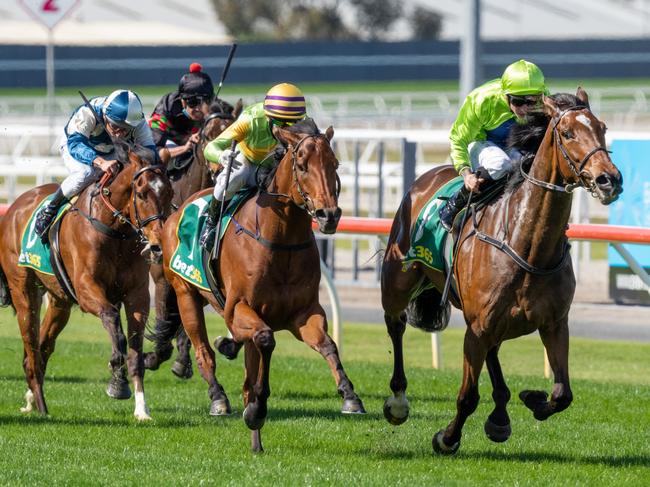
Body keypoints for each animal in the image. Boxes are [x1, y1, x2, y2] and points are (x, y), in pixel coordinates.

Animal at [0, 141, 172, 420]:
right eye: (142, 192)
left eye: (168, 192)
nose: (158, 246)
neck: (114, 231)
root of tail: (15, 207)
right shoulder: (86, 289)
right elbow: (114, 323)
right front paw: (117, 380)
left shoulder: (137, 296)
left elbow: (135, 351)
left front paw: (141, 409)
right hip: (24, 293)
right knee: (32, 350)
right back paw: (42, 406)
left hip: (59, 302)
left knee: (42, 348)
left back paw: (32, 400)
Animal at [146, 99, 242, 380]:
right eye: (209, 136)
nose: (223, 172)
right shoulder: (162, 272)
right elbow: (166, 312)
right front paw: (157, 354)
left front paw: (181, 360)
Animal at [159, 119, 364, 454]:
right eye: (302, 165)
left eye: (334, 163)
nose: (329, 215)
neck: (280, 240)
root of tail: (178, 208)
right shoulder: (241, 308)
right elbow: (266, 340)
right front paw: (256, 409)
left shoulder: (304, 313)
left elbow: (328, 345)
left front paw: (349, 395)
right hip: (185, 293)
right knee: (203, 352)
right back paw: (218, 397)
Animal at [380, 89, 624, 456]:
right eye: (567, 133)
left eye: (602, 128)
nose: (609, 179)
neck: (526, 245)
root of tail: (428, 176)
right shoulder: (476, 328)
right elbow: (467, 396)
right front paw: (447, 438)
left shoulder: (554, 323)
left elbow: (562, 394)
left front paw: (532, 398)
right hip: (398, 279)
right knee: (396, 324)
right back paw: (398, 400)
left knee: (494, 352)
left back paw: (500, 415)